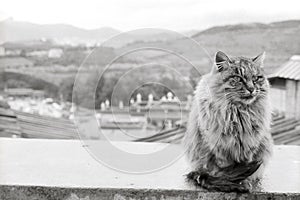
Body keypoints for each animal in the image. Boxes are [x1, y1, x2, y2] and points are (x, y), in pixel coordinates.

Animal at [182, 51, 274, 192]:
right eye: (238, 78)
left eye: (256, 78)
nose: (251, 89)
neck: (239, 113)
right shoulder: (220, 148)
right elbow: (227, 169)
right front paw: (237, 183)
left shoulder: (250, 146)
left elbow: (247, 168)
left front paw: (246, 182)